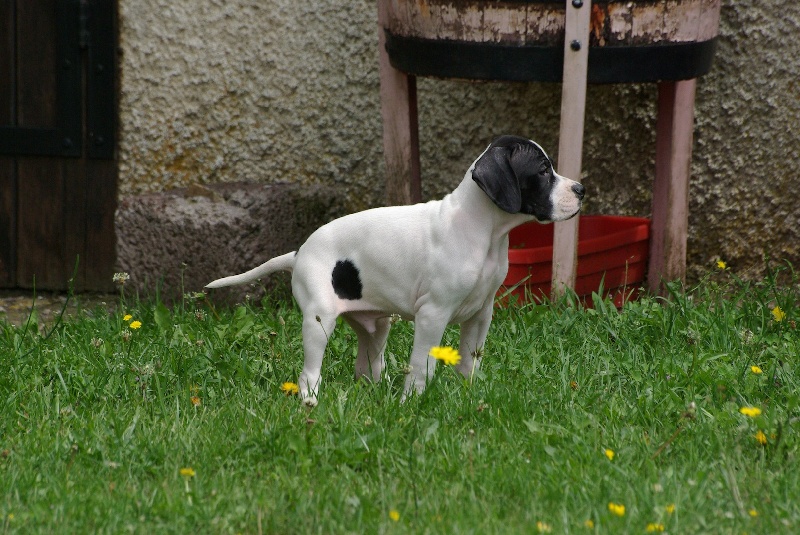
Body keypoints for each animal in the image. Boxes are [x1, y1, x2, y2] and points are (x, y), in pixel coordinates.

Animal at [206, 135, 585, 405]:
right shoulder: (432, 315)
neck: (483, 232)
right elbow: (421, 367)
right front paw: (411, 404)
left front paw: (468, 396)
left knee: (367, 366)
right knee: (310, 372)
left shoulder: (481, 314)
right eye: (542, 171)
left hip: (375, 327)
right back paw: (310, 403)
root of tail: (300, 252)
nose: (580, 189)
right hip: (318, 321)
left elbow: (469, 362)